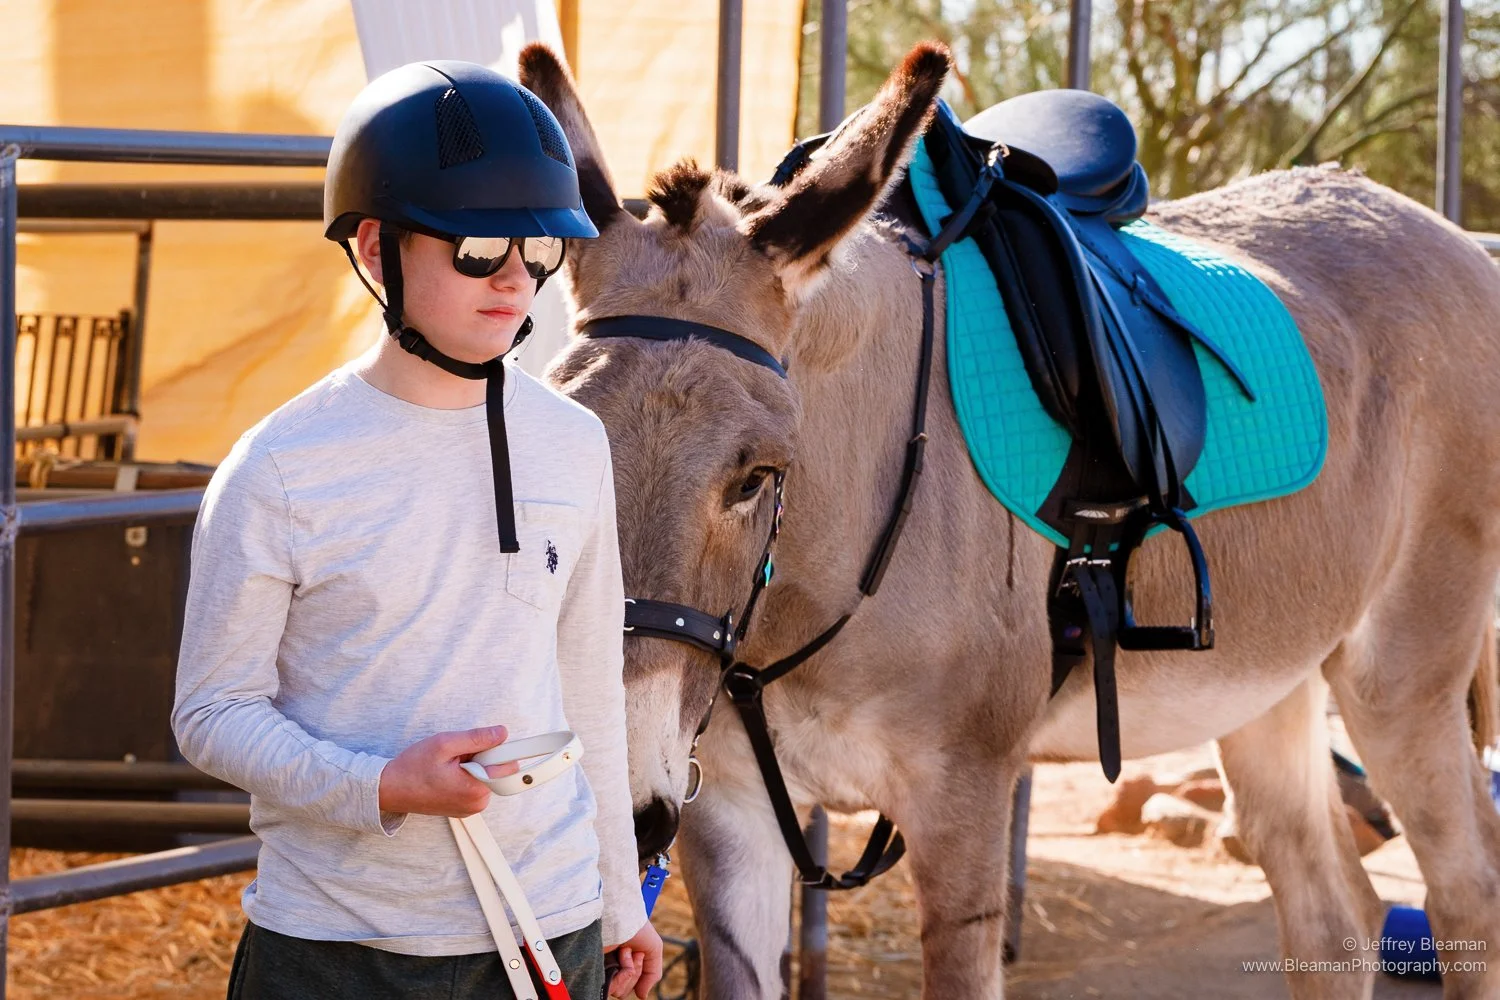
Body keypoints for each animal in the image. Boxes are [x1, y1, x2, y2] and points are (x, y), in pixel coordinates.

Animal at [518, 40, 1500, 999]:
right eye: (569, 442)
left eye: (758, 475)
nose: (613, 814)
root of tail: (1446, 233)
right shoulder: (727, 814)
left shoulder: (965, 800)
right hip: (1268, 680)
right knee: (1335, 913)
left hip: (1401, 676)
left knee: (1466, 895)